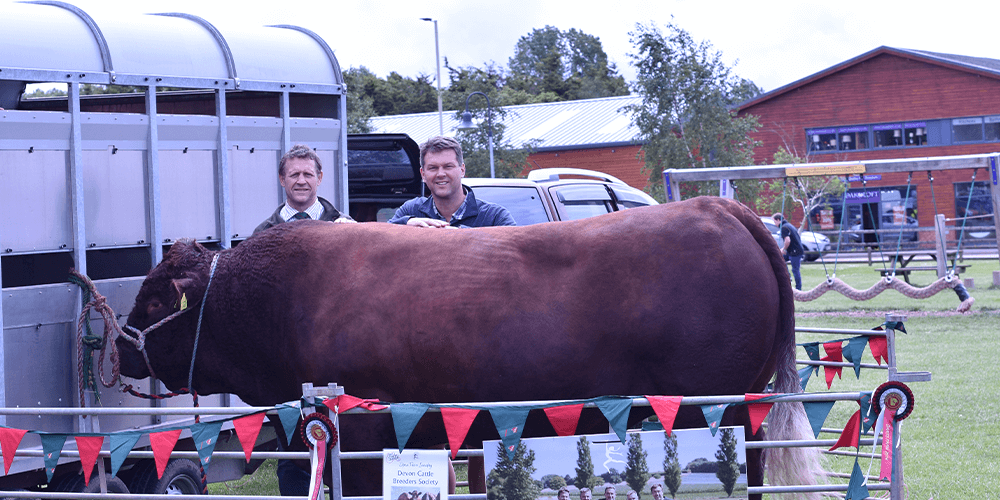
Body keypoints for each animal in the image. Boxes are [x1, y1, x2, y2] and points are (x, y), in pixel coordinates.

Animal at [117, 197, 820, 498]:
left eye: (152, 301)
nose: (120, 348)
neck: (278, 296)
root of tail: (717, 206)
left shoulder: (363, 428)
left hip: (723, 405)